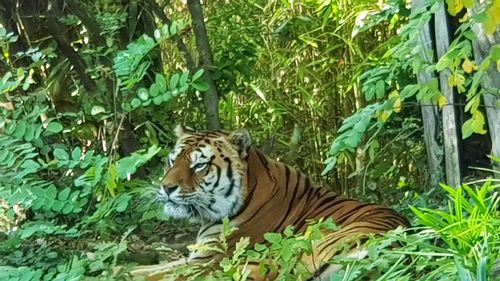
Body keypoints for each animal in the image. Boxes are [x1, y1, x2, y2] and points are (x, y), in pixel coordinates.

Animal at [133, 126, 410, 278]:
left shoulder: (208, 262)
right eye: (172, 161)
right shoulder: (195, 257)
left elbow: (158, 275)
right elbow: (150, 269)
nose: (166, 187)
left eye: (199, 165)